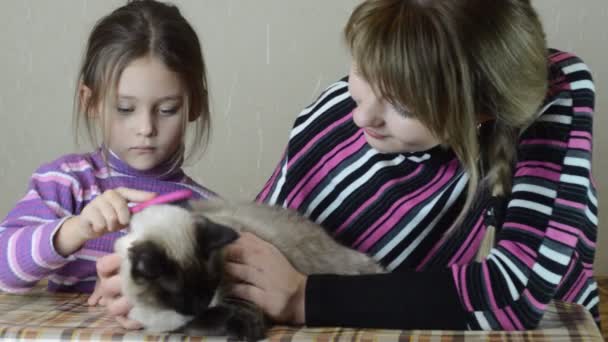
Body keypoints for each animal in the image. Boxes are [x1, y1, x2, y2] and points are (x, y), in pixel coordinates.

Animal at [114, 199, 384, 340]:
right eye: (180, 296)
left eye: (212, 284)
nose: (201, 305)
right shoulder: (177, 322)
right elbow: (207, 321)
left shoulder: (240, 292)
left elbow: (239, 313)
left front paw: (248, 330)